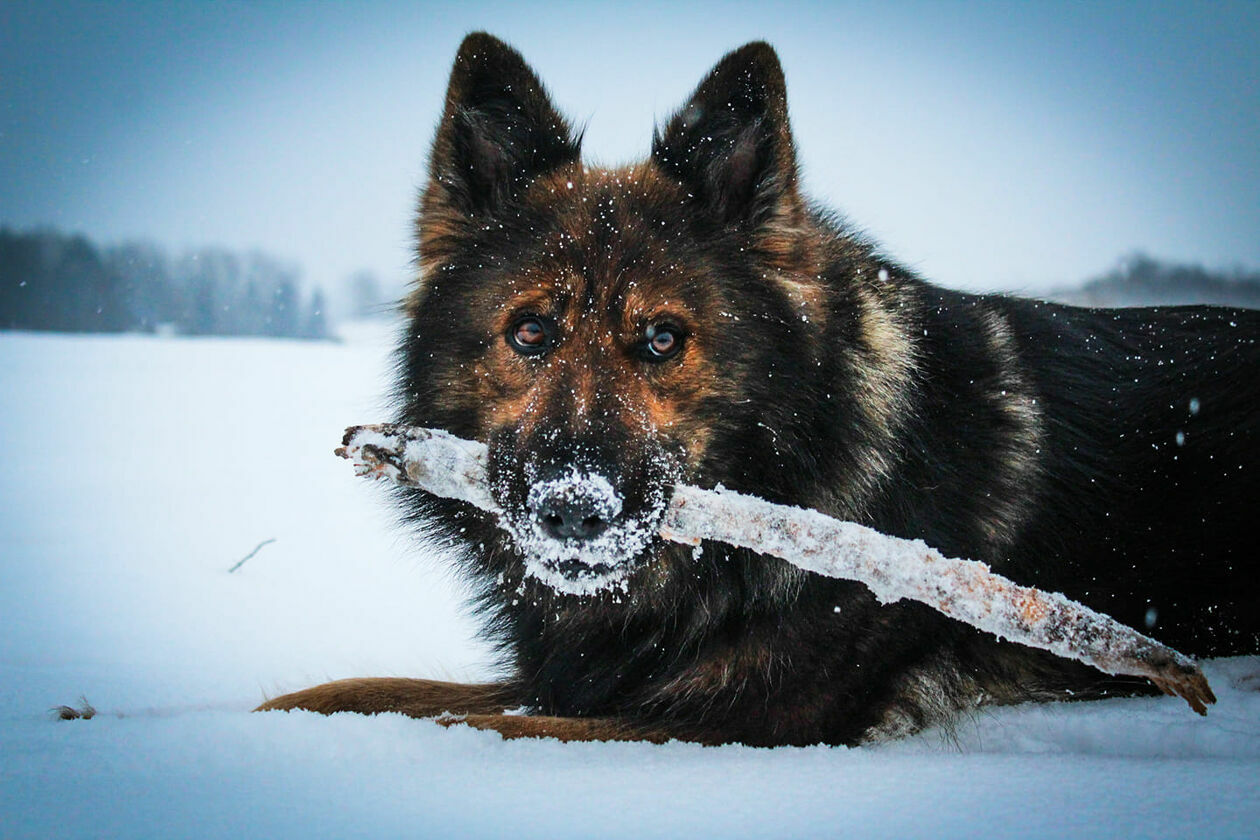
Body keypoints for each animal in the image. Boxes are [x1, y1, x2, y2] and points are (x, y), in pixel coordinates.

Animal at [258, 32, 1260, 745]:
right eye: (530, 332)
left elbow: (460, 720)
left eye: (664, 338)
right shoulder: (588, 679)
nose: (572, 508)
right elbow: (368, 691)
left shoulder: (738, 722)